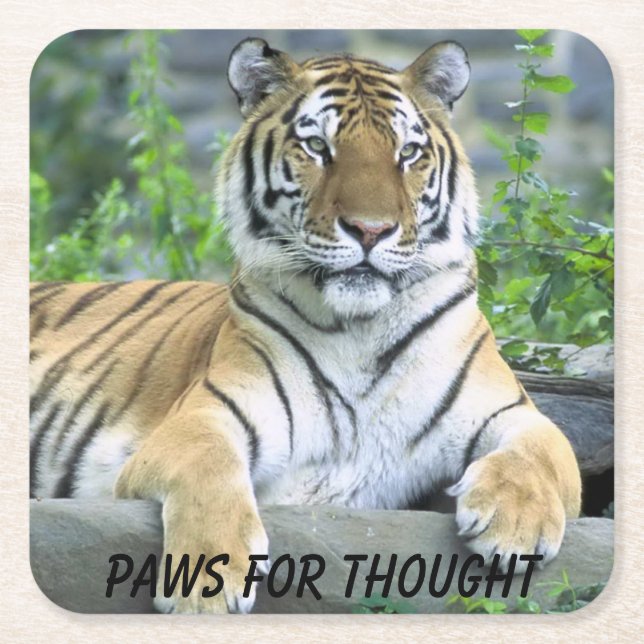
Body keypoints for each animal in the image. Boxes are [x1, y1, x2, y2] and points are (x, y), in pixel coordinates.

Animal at [30, 38, 582, 614]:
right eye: (317, 146)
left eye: (408, 153)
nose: (371, 230)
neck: (361, 330)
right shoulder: (203, 416)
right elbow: (209, 465)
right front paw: (205, 590)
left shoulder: (510, 410)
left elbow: (544, 450)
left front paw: (515, 527)